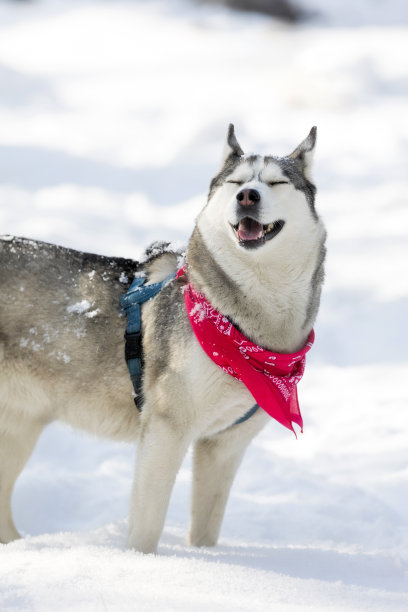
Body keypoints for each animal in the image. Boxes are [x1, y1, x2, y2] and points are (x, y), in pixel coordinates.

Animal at [0, 125, 326, 556]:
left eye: (276, 182)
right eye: (236, 182)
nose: (247, 196)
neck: (247, 327)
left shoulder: (224, 445)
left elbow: (205, 529)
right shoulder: (165, 430)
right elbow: (146, 527)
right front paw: (145, 566)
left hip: (19, 426)